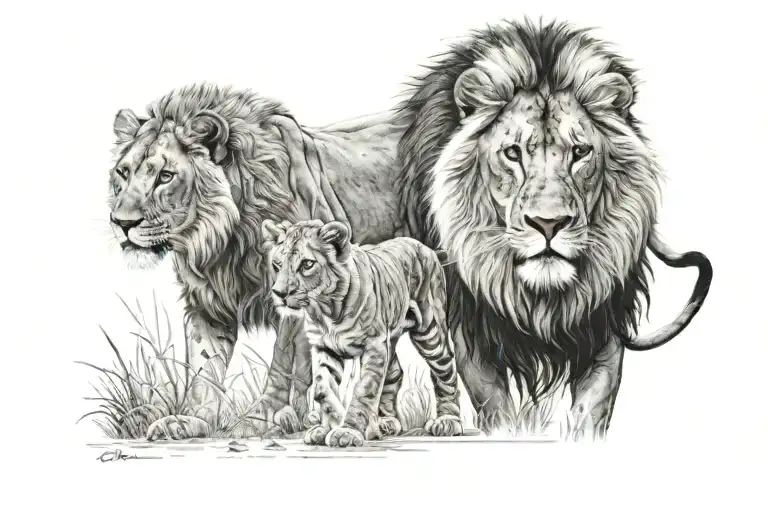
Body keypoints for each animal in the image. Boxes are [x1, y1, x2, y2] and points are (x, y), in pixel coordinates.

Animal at [106, 83, 410, 439]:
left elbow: (284, 360)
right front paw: (192, 420)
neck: (222, 237)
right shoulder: (207, 300)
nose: (122, 223)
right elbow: (204, 365)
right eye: (123, 173)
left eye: (166, 176)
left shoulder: (296, 298)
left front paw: (263, 417)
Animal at [261, 219, 463, 447]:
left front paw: (347, 431)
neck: (326, 310)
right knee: (395, 373)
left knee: (446, 369)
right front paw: (327, 427)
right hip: (390, 339)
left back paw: (448, 421)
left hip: (429, 331)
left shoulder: (374, 345)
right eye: (277, 264)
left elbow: (364, 389)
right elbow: (322, 389)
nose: (280, 293)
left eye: (307, 264)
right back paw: (386, 423)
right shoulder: (324, 347)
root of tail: (424, 247)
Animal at [393, 18, 712, 438]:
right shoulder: (468, 327)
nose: (549, 223)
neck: (541, 301)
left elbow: (591, 411)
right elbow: (496, 408)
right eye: (512, 153)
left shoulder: (604, 320)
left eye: (580, 152)